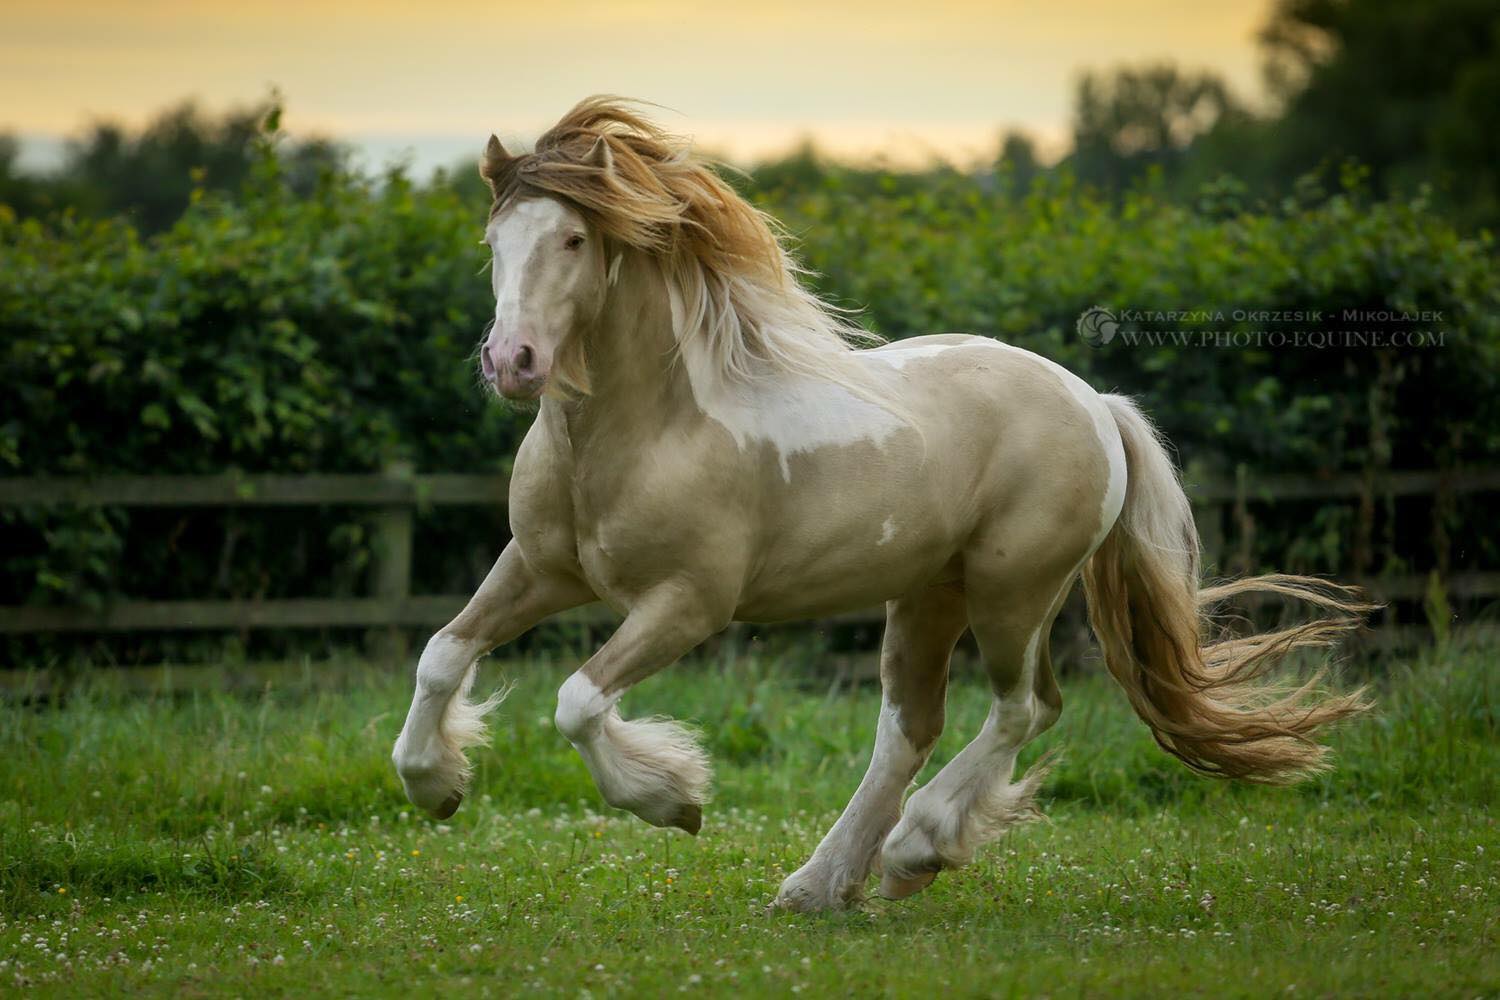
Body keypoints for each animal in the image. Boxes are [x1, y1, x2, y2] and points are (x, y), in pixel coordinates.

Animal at [396, 95, 1374, 917]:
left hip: (1012, 591)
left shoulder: (687, 603)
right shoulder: (541, 570)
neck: (646, 427)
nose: (512, 363)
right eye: (493, 241)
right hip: (929, 593)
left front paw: (674, 799)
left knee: (1023, 710)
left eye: (571, 240)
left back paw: (912, 852)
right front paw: (437, 787)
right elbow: (441, 655)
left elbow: (576, 701)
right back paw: (821, 884)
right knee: (911, 728)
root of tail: (1095, 405)